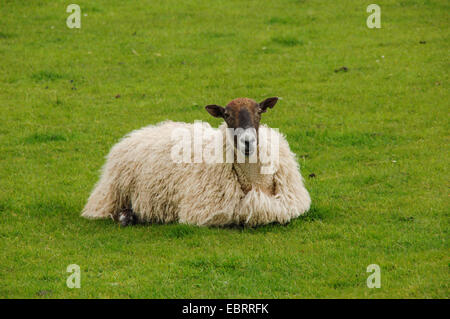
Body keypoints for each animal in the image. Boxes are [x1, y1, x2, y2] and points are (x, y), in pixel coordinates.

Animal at [81, 97, 310, 228]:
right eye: (226, 115)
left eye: (259, 112)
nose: (248, 141)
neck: (255, 182)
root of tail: (136, 133)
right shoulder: (204, 211)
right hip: (112, 193)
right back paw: (127, 217)